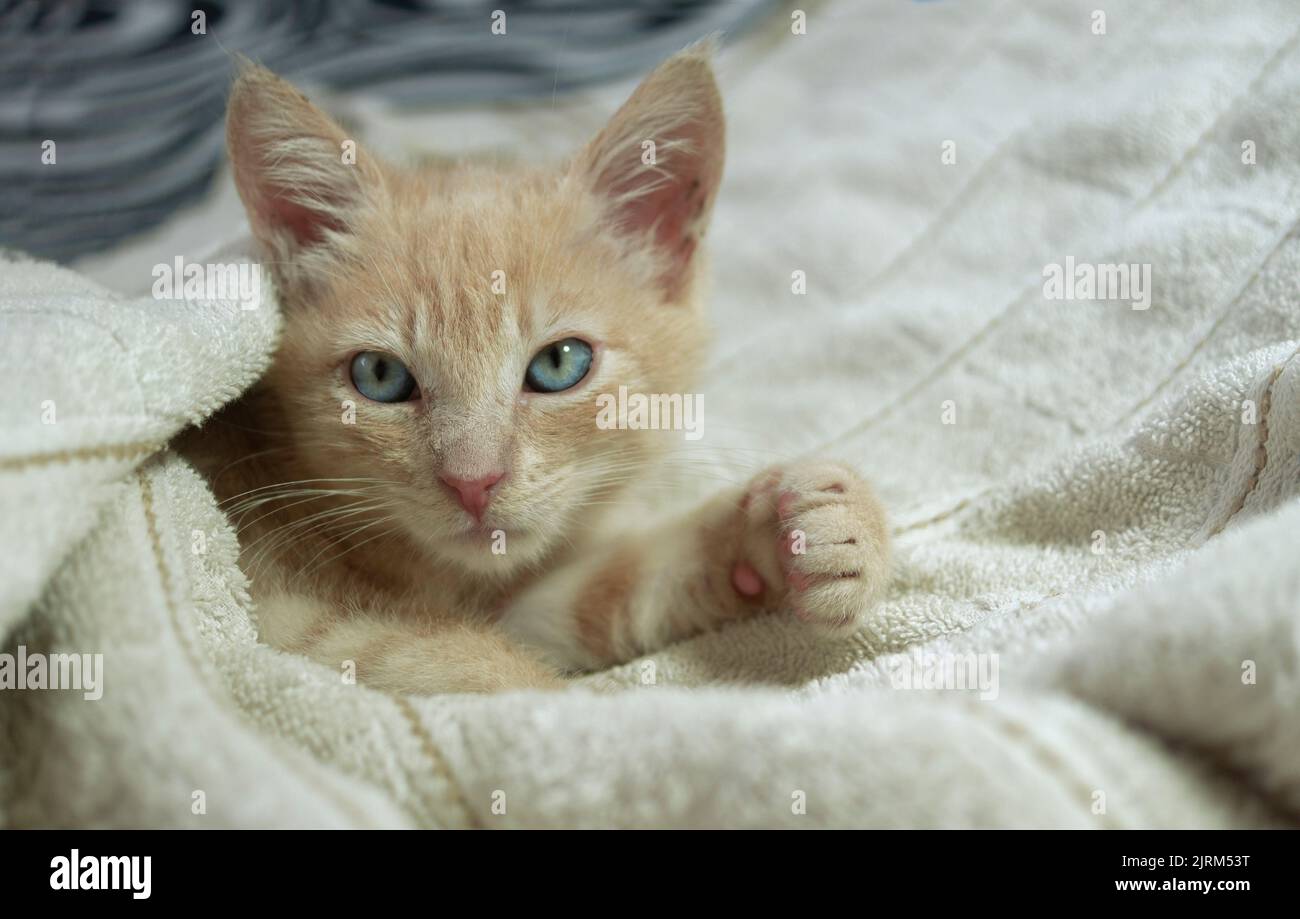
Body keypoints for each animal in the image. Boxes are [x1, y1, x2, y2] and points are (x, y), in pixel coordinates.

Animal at [180, 43, 894, 691]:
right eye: (379, 376)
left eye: (559, 363)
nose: (473, 482)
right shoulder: (283, 614)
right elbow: (484, 675)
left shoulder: (517, 595)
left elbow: (602, 592)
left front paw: (809, 528)